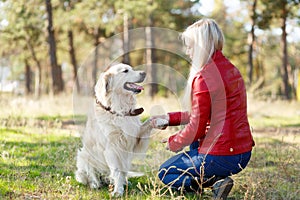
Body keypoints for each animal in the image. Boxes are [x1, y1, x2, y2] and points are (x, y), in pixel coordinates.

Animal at [74, 63, 154, 196]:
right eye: (125, 71)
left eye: (132, 69)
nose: (144, 73)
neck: (119, 108)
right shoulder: (111, 148)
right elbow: (117, 171)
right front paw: (118, 191)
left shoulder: (134, 139)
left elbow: (148, 122)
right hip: (84, 154)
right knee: (90, 172)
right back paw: (95, 183)